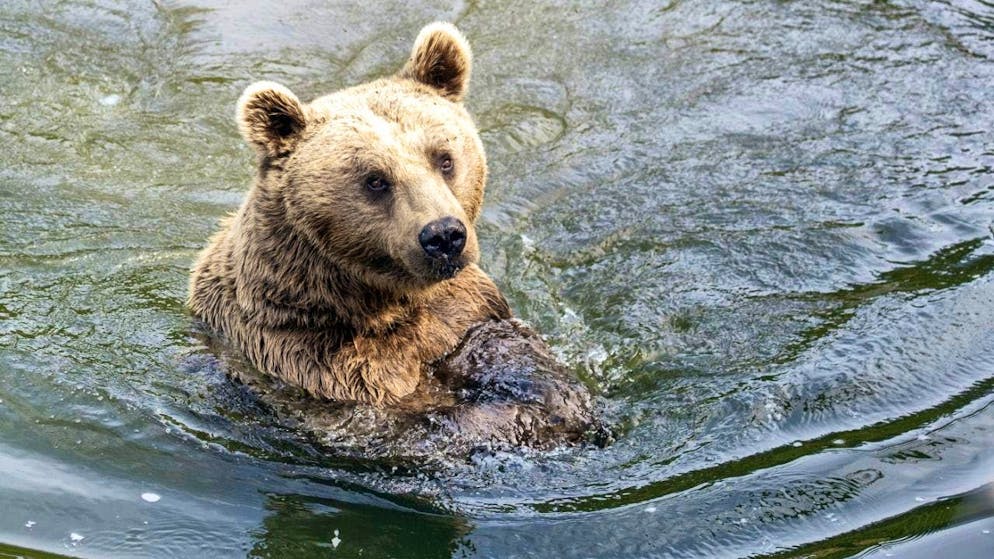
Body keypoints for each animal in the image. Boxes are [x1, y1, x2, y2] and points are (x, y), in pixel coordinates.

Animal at [189, 22, 602, 451]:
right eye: (375, 180)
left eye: (444, 158)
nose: (443, 235)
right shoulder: (318, 360)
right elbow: (420, 425)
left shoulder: (467, 308)